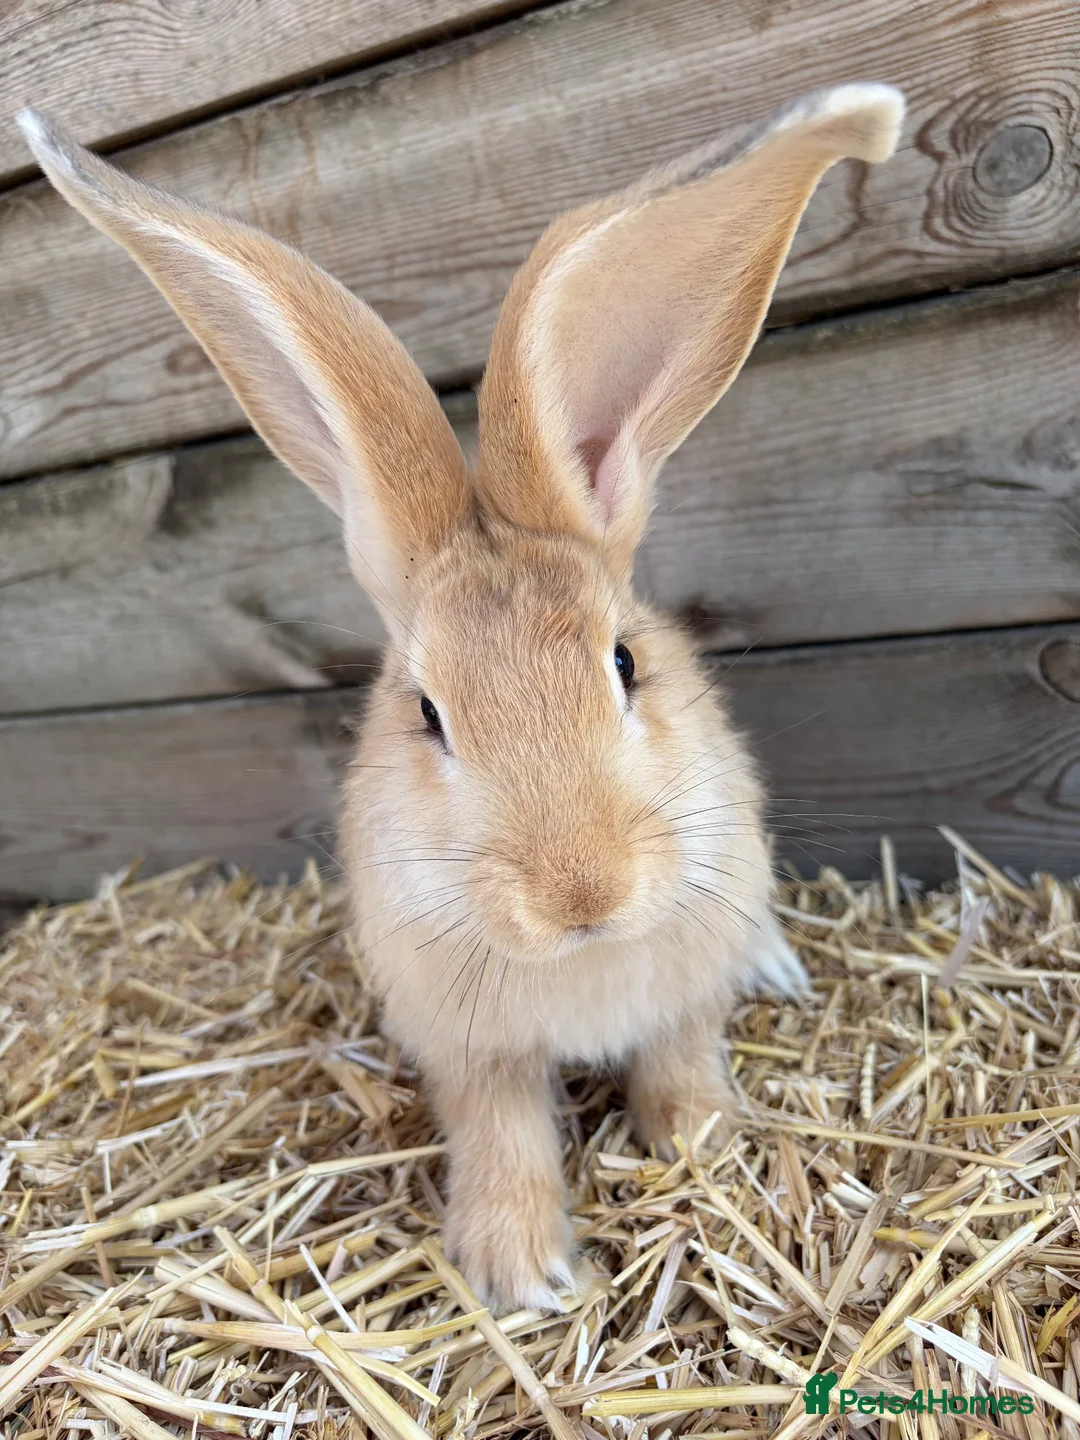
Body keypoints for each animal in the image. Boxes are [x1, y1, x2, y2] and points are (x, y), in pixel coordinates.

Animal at [19, 82, 903, 1313]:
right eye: (426, 713)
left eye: (624, 663)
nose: (581, 892)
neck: (578, 963)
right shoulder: (466, 1046)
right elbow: (500, 1132)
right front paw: (521, 1273)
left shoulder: (682, 991)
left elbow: (680, 1064)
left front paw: (704, 1148)